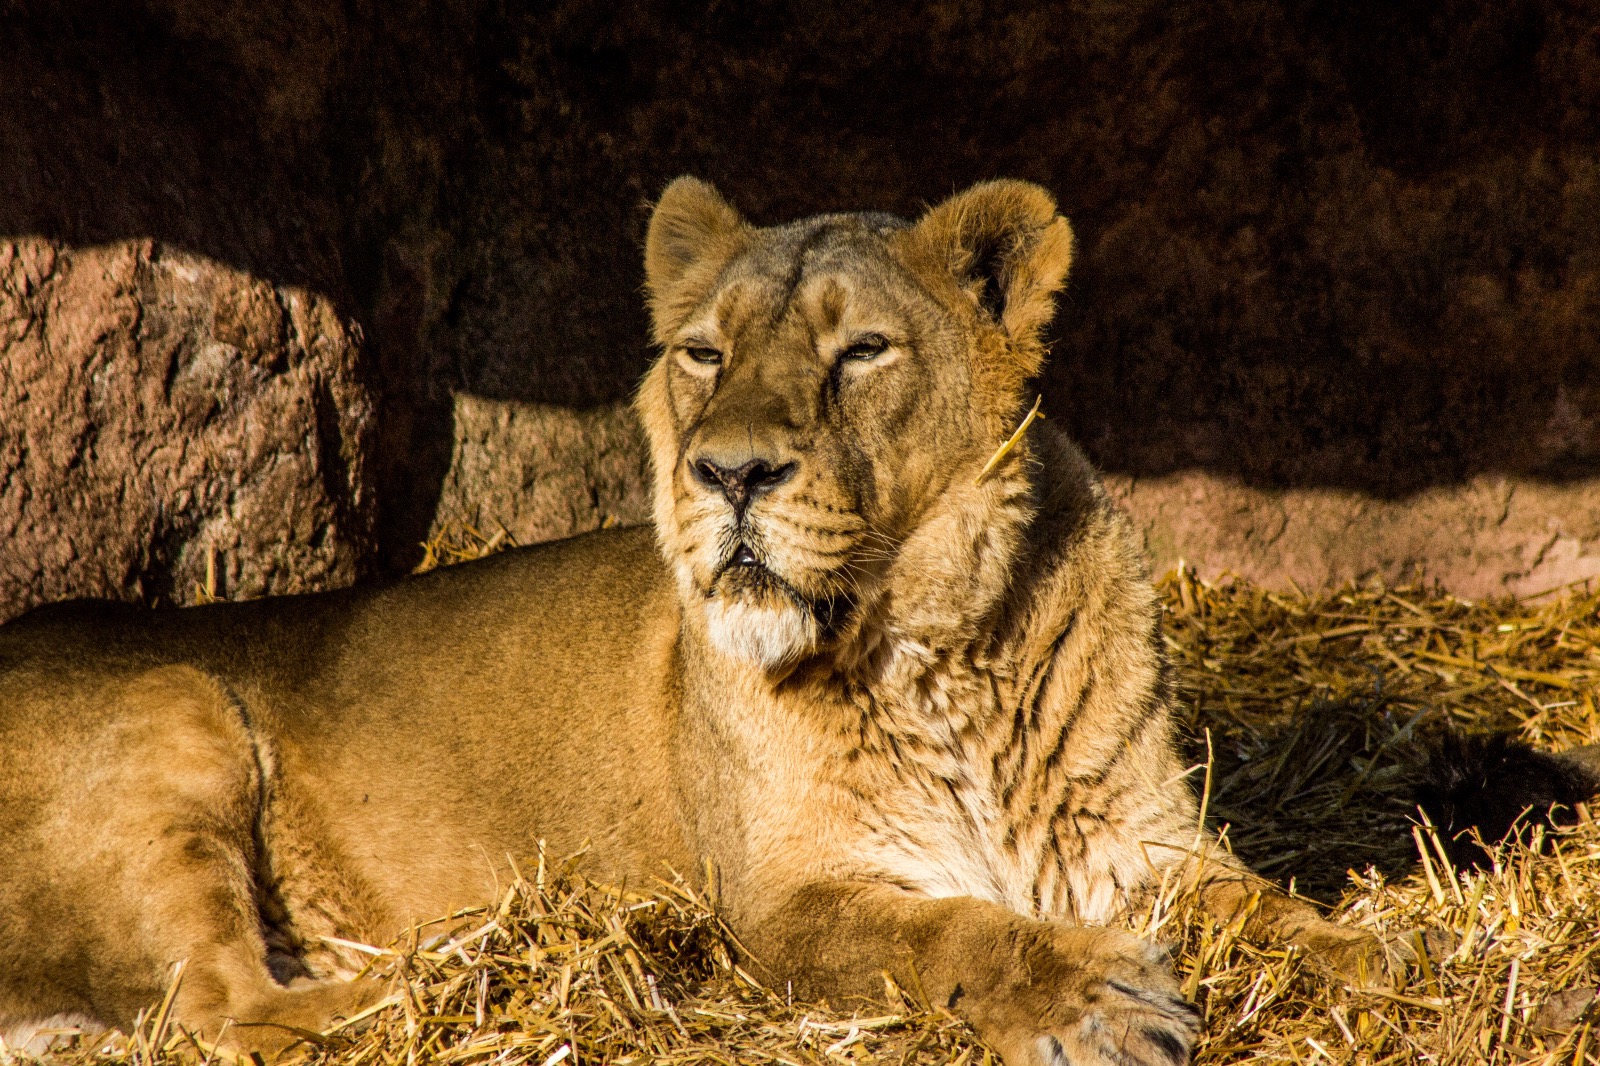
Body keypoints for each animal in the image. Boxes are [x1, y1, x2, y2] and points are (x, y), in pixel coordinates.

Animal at [0, 178, 1376, 1056]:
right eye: (704, 354)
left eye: (862, 351)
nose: (731, 473)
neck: (938, 647)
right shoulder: (784, 899)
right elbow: (955, 936)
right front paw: (1095, 998)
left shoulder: (1145, 845)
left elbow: (1268, 910)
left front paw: (1368, 958)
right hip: (176, 699)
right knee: (217, 1007)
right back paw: (435, 988)